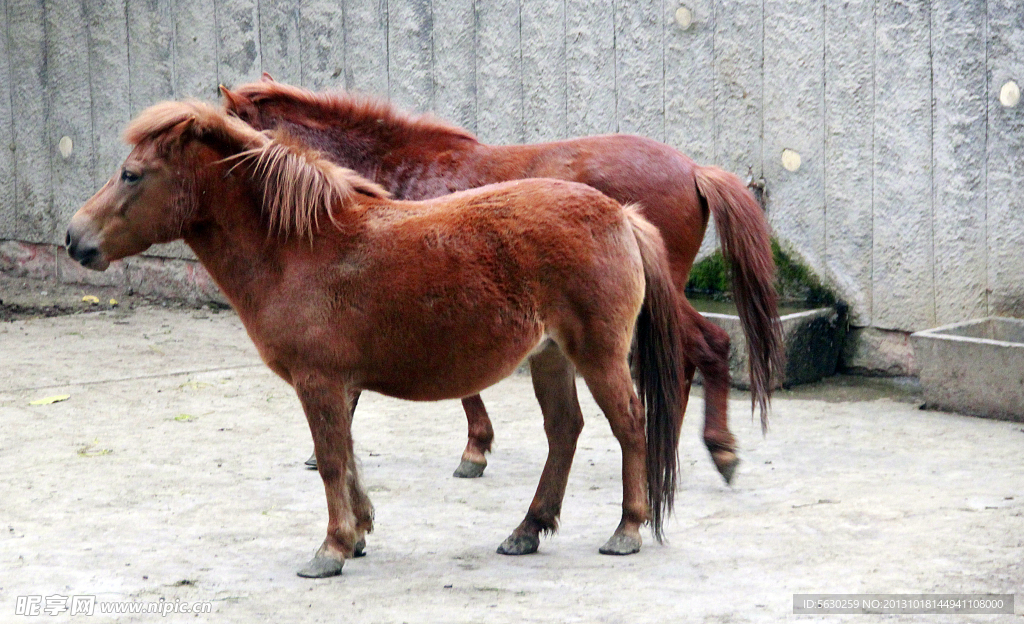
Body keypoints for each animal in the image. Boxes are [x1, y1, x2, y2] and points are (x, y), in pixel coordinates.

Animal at [66, 100, 688, 573]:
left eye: (131, 174)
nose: (74, 238)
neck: (299, 248)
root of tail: (621, 215)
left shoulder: (318, 381)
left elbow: (331, 459)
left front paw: (332, 547)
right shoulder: (338, 385)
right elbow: (345, 453)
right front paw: (360, 532)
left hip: (599, 355)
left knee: (630, 425)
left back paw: (627, 529)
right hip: (551, 356)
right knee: (564, 431)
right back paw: (527, 529)